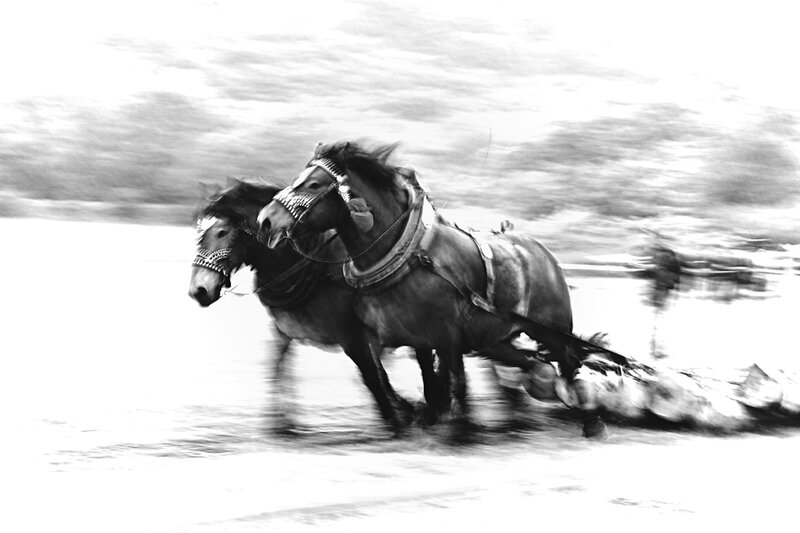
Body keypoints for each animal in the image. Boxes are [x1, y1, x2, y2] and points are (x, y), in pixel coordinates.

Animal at [188, 179, 438, 433]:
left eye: (222, 232)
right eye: (199, 236)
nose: (198, 291)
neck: (306, 266)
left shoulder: (353, 337)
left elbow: (373, 378)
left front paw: (397, 418)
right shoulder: (285, 331)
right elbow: (276, 365)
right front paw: (281, 421)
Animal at [257, 142, 605, 437]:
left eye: (314, 185)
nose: (265, 220)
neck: (409, 259)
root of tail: (545, 254)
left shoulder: (448, 337)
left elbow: (456, 386)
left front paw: (458, 428)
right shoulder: (417, 338)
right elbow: (426, 385)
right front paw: (423, 416)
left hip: (552, 329)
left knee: (569, 363)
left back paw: (588, 418)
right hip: (496, 338)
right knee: (533, 364)